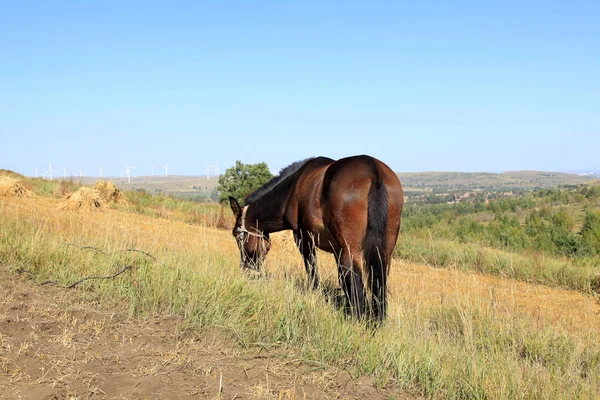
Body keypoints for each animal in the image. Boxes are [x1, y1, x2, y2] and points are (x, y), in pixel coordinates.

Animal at [229, 155, 404, 320]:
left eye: (237, 235)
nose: (245, 268)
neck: (292, 188)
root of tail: (373, 170)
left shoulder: (303, 237)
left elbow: (312, 269)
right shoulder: (337, 249)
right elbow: (342, 279)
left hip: (350, 248)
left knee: (356, 281)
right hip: (384, 250)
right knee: (378, 281)